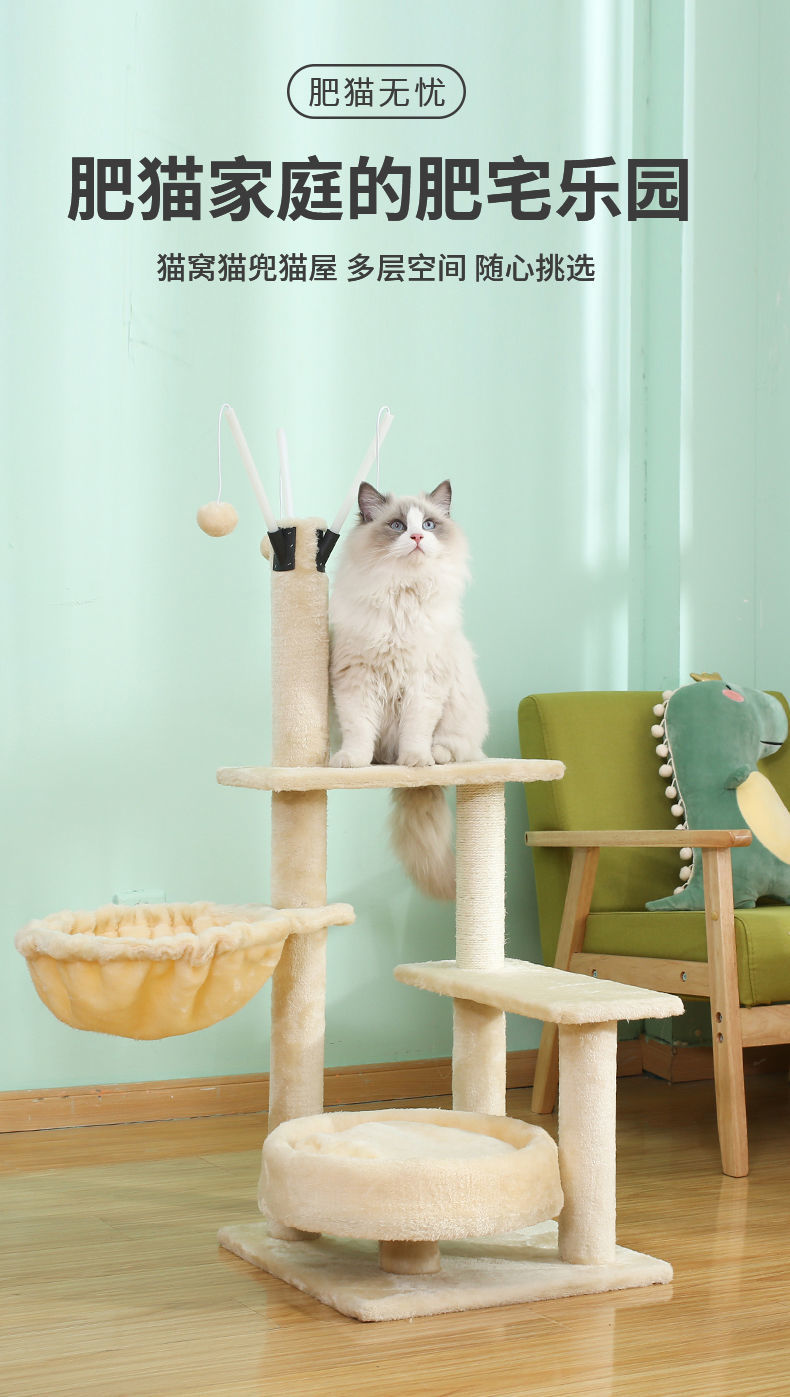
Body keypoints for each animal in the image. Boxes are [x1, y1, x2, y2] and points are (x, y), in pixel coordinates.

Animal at [329, 479, 488, 900]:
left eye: (429, 525)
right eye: (398, 526)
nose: (417, 537)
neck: (402, 595)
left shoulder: (424, 683)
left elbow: (416, 730)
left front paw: (415, 762)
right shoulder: (356, 680)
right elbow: (358, 731)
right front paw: (352, 762)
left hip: (461, 725)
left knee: (456, 750)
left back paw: (431, 758)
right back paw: (381, 761)